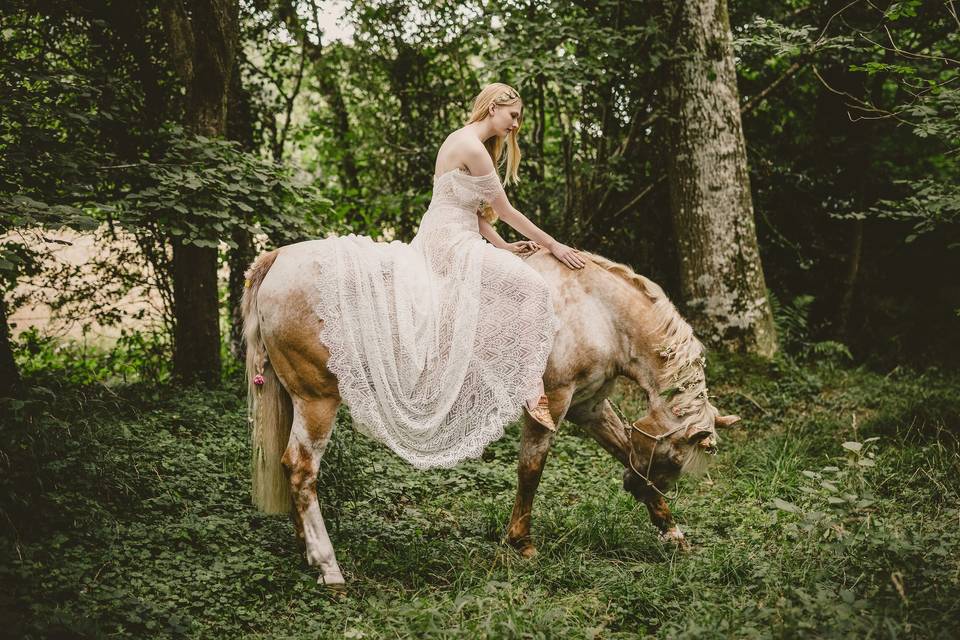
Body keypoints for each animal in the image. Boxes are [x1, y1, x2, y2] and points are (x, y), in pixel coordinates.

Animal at [242, 244, 744, 592]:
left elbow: (624, 450)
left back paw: (306, 553)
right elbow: (531, 469)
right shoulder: (552, 402)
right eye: (677, 459)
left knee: (291, 469)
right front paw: (521, 543)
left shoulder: (589, 407)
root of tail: (279, 258)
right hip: (318, 400)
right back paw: (329, 567)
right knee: (302, 468)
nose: (635, 491)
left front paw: (673, 532)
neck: (594, 308)